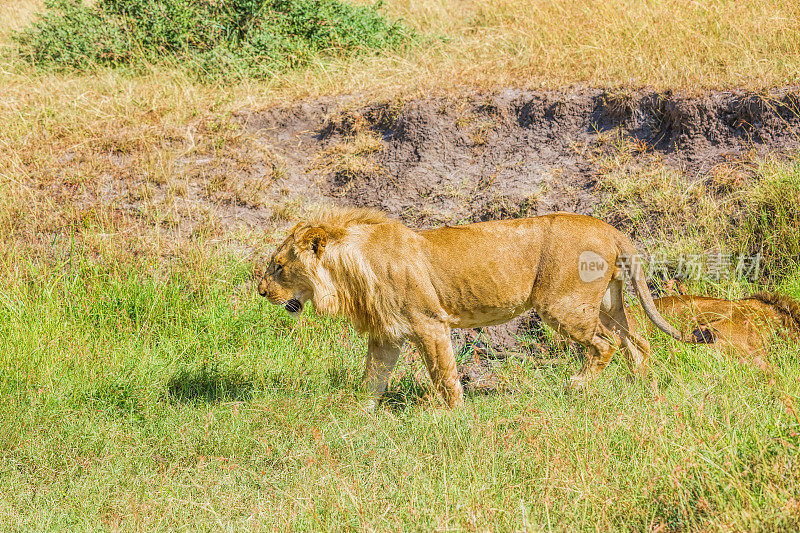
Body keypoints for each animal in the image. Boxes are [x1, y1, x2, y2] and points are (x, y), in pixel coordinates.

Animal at [258, 207, 688, 408]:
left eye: (278, 267)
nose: (261, 292)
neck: (349, 272)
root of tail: (609, 227)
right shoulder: (387, 335)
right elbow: (372, 378)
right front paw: (359, 415)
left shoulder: (429, 323)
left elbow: (444, 373)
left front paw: (454, 415)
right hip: (606, 303)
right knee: (636, 341)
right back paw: (643, 391)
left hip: (563, 305)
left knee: (605, 345)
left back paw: (577, 386)